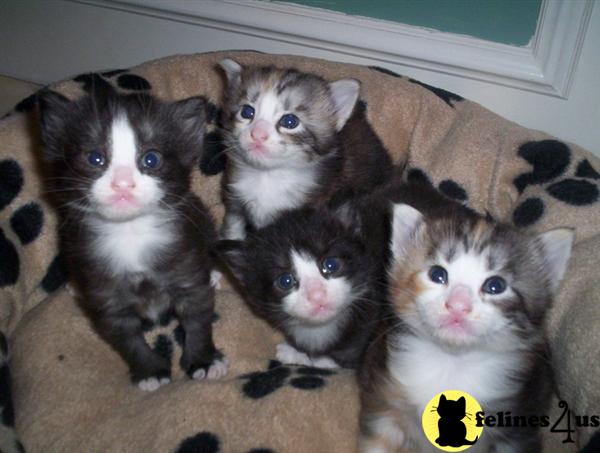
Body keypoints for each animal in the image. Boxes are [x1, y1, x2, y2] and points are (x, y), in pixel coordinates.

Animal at [37, 86, 229, 390]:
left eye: (151, 159)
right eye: (95, 158)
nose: (123, 183)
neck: (130, 232)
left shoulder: (186, 267)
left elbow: (198, 320)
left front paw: (204, 361)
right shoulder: (107, 296)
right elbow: (127, 339)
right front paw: (150, 372)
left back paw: (213, 274)